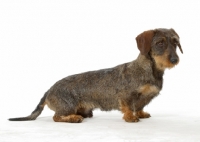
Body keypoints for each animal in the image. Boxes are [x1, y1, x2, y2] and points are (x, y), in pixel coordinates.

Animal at [9, 28, 183, 122]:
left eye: (175, 42)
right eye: (160, 43)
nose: (175, 60)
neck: (150, 70)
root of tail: (48, 90)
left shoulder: (146, 97)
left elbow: (140, 106)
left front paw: (140, 113)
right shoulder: (126, 95)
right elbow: (128, 106)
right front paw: (130, 116)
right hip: (67, 106)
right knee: (56, 117)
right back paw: (72, 118)